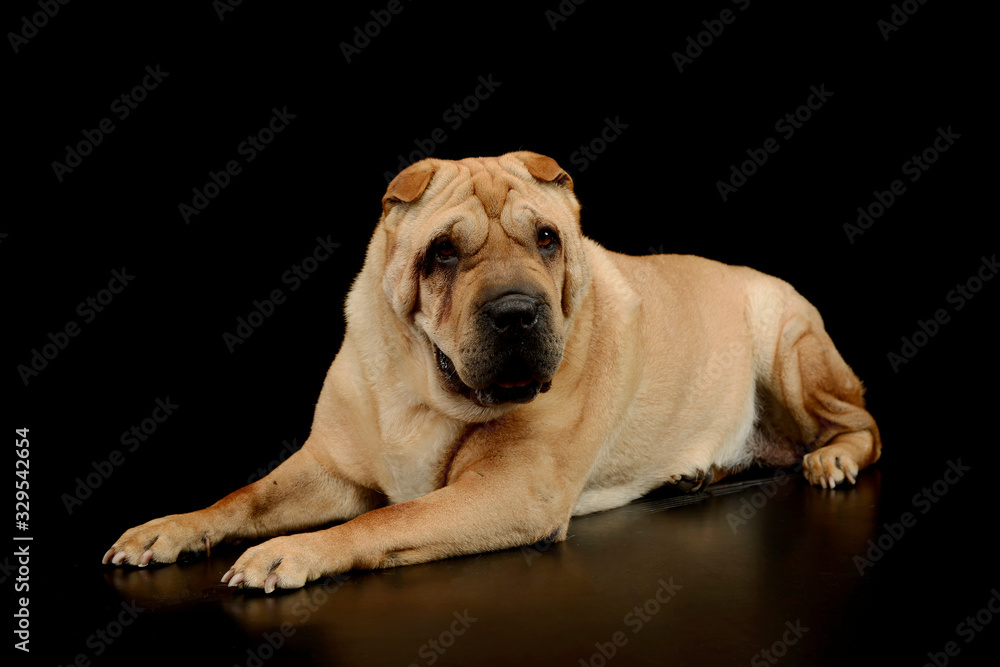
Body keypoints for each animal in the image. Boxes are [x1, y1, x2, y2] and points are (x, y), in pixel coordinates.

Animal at [103, 153, 884, 596]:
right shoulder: (327, 469)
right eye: (443, 253)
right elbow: (242, 495)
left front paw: (291, 552)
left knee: (863, 424)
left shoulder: (509, 491)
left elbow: (386, 517)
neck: (421, 387)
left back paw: (831, 459)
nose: (516, 311)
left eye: (547, 239)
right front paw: (168, 529)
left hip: (789, 346)